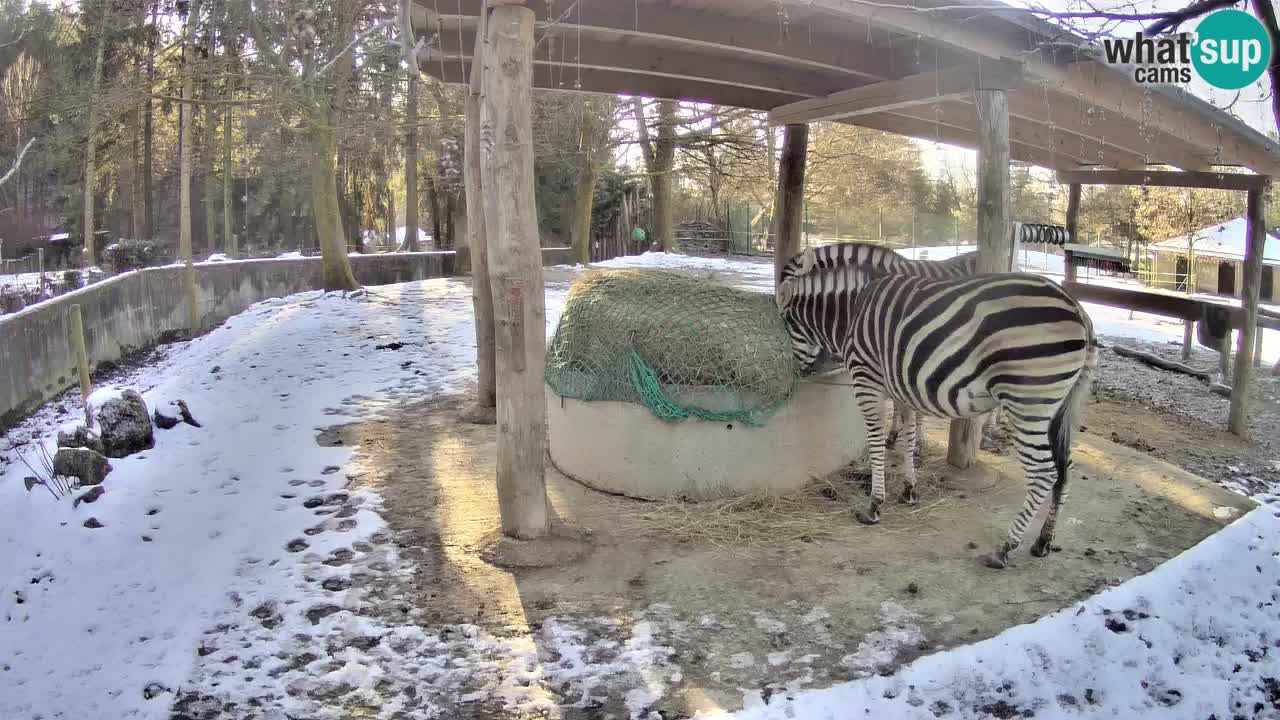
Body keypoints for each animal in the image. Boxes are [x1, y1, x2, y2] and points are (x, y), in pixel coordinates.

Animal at [773, 251, 1095, 566]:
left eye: (785, 326)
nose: (800, 375)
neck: (851, 311)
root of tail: (1077, 308)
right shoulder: (899, 386)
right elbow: (908, 436)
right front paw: (908, 489)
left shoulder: (867, 380)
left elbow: (876, 443)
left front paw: (875, 504)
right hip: (1057, 407)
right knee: (1065, 468)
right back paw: (1043, 540)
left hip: (1028, 401)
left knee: (1044, 472)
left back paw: (1005, 547)